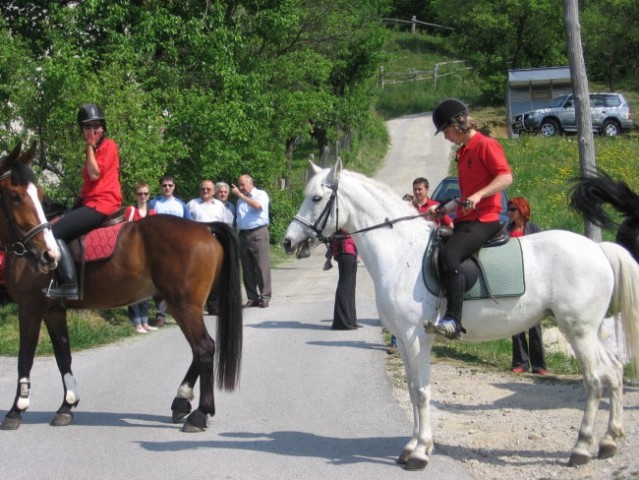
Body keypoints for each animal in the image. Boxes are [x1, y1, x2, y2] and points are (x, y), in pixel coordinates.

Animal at [0, 142, 242, 432]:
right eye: (16, 196)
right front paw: (67, 406)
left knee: (204, 349)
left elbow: (25, 358)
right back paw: (181, 401)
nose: (49, 255)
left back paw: (199, 413)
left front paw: (16, 410)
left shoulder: (30, 308)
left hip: (184, 304)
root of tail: (204, 227)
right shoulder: (53, 311)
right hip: (182, 304)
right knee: (201, 350)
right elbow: (63, 356)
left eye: (37, 194)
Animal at [284, 159, 639, 470]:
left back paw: (581, 448)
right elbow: (412, 389)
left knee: (594, 381)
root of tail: (598, 249)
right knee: (613, 372)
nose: (288, 241)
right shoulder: (405, 339)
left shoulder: (416, 337)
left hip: (578, 332)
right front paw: (413, 446)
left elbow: (422, 393)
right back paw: (609, 441)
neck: (400, 250)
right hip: (590, 332)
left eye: (317, 198)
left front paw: (420, 454)